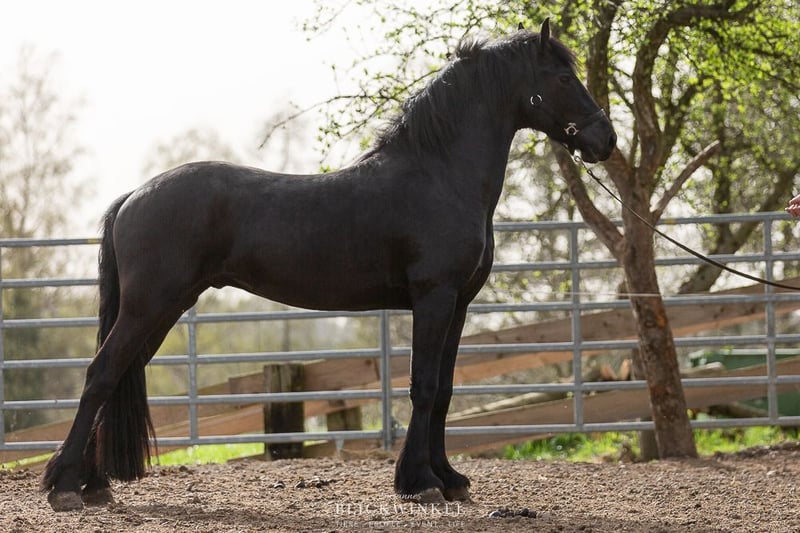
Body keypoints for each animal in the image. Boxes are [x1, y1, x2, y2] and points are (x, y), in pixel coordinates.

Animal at [41, 19, 615, 511]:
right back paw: (64, 487)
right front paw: (421, 483)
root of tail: (134, 196)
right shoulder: (433, 298)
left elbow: (446, 391)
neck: (439, 175)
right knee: (100, 374)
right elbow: (425, 387)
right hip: (151, 304)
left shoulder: (458, 305)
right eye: (563, 77)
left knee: (117, 374)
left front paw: (449, 478)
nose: (605, 140)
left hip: (163, 307)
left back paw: (93, 485)